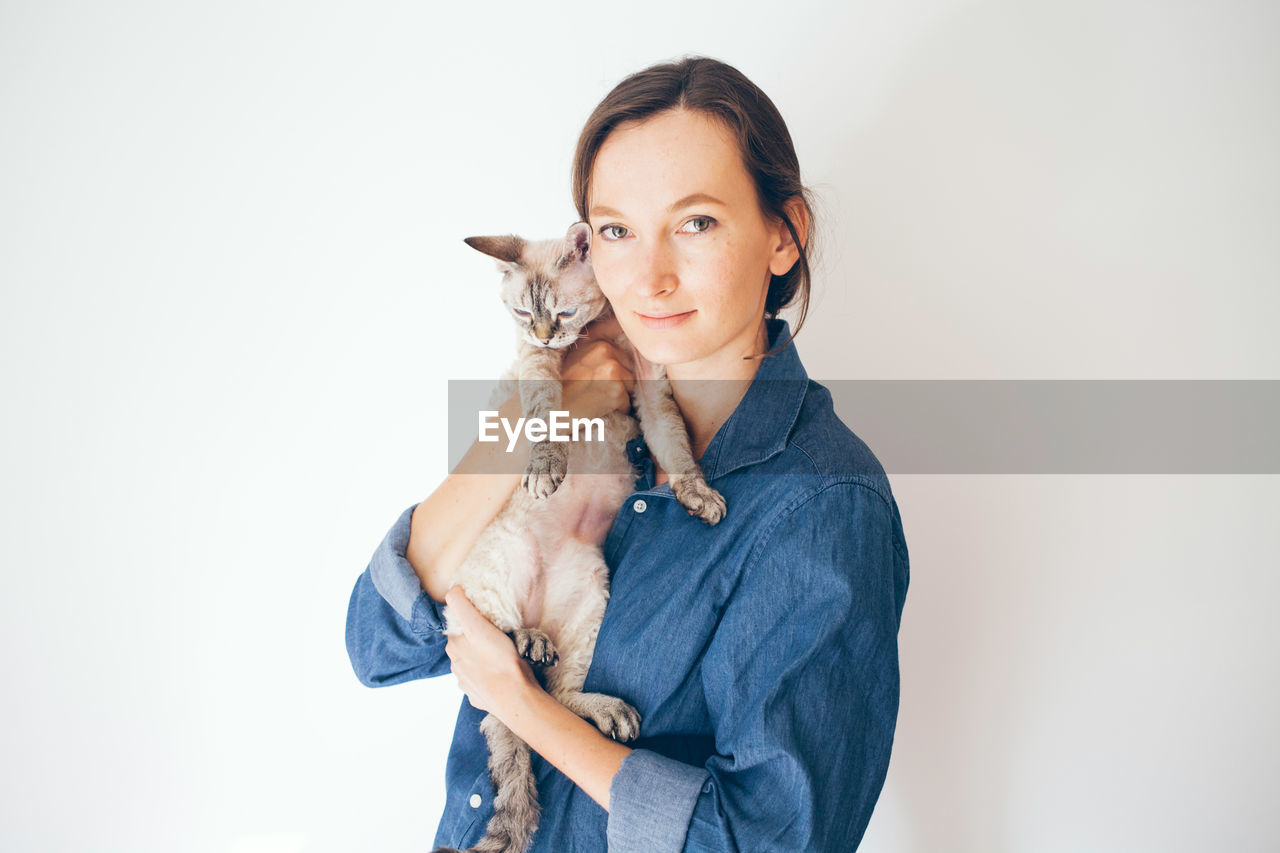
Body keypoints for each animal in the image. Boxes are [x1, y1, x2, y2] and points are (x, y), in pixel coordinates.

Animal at [430, 220, 727, 850]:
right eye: (523, 313)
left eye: (562, 312)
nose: (546, 335)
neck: (597, 330)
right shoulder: (536, 368)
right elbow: (545, 415)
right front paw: (547, 465)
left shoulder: (651, 388)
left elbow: (675, 447)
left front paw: (698, 495)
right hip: (493, 573)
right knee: (504, 644)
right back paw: (527, 640)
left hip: (591, 601)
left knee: (555, 691)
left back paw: (597, 700)